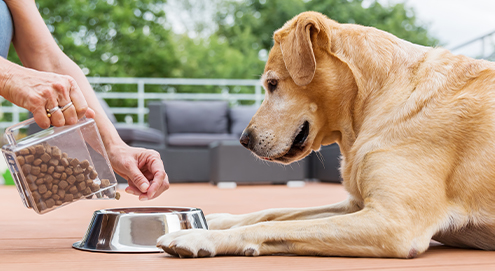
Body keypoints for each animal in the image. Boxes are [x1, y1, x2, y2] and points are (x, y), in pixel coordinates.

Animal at [157, 11, 495, 260]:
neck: (376, 98)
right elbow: (273, 213)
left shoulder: (393, 222)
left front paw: (199, 235)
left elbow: (269, 225)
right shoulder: (355, 205)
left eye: (273, 84)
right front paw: (216, 220)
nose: (244, 140)